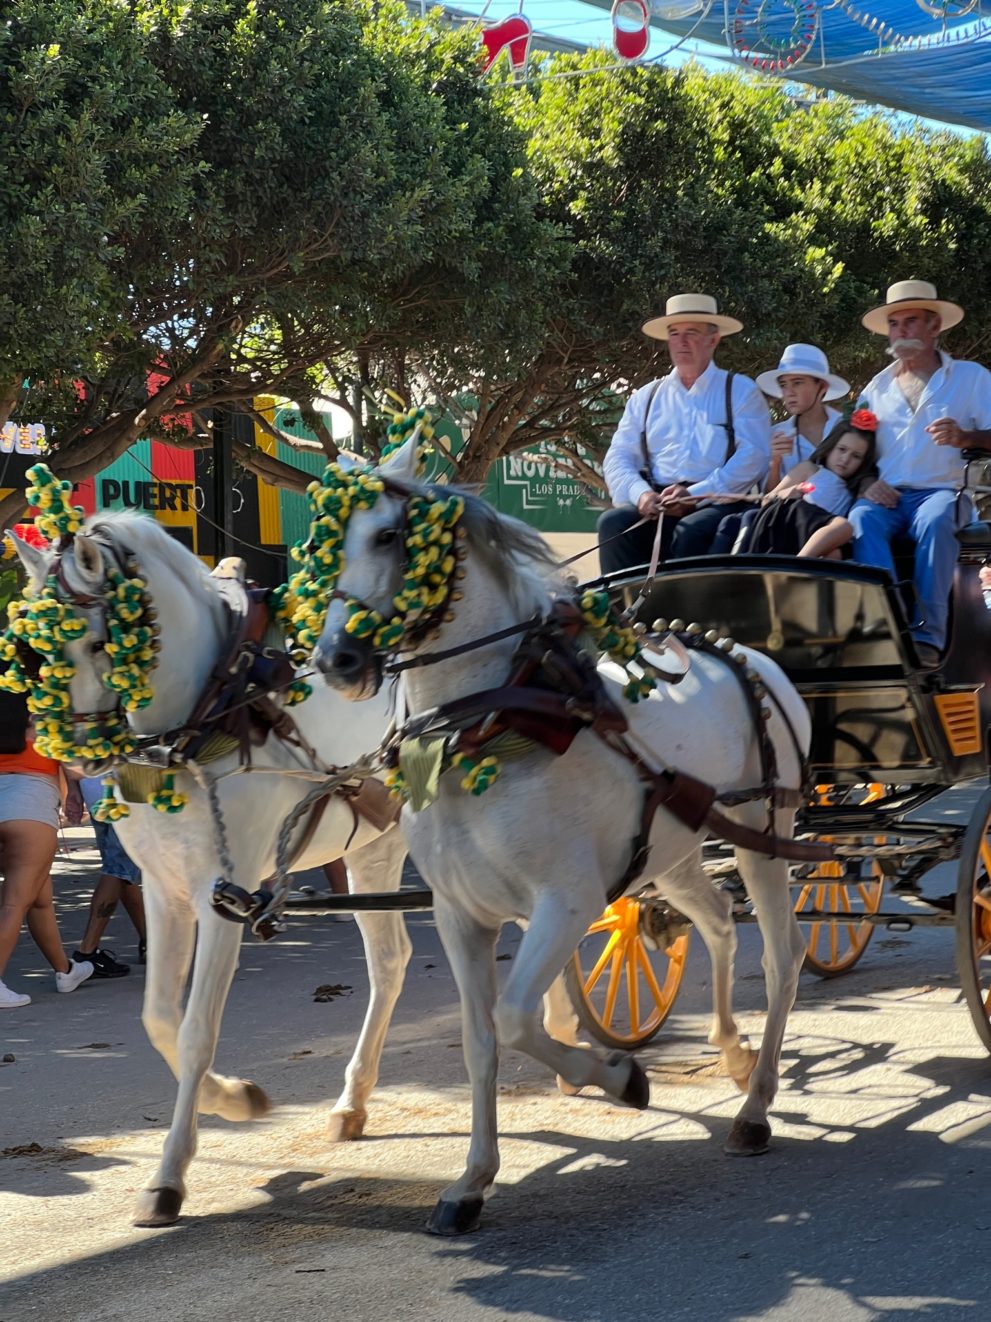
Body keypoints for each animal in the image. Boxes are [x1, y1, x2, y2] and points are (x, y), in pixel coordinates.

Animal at [13, 512, 412, 1226]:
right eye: (32, 653)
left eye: (96, 642)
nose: (81, 755)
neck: (207, 714)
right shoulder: (164, 891)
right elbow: (159, 1020)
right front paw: (231, 1099)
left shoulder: (223, 894)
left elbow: (198, 1029)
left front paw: (169, 1176)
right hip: (374, 848)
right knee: (392, 962)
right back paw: (352, 1102)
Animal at [315, 441, 813, 1226]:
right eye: (327, 540)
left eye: (389, 536)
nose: (338, 659)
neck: (485, 724)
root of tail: (750, 656)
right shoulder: (458, 914)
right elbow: (481, 1041)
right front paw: (471, 1182)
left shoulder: (567, 901)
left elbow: (518, 1019)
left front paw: (619, 1075)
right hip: (677, 850)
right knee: (714, 922)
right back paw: (731, 1053)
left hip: (765, 833)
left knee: (783, 954)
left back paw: (756, 1107)